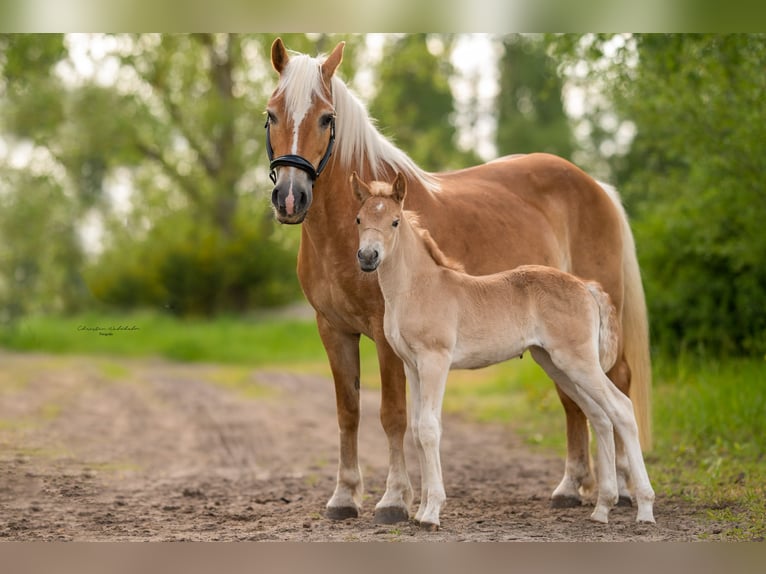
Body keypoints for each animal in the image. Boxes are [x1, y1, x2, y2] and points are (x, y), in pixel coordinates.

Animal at [352, 173, 656, 532]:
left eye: (395, 221)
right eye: (359, 219)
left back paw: (644, 508)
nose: (367, 257)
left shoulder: (435, 361)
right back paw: (602, 509)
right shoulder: (412, 366)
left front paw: (431, 513)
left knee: (621, 408)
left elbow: (429, 428)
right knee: (599, 415)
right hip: (556, 363)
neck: (419, 288)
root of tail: (586, 286)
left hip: (578, 361)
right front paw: (422, 509)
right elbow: (415, 429)